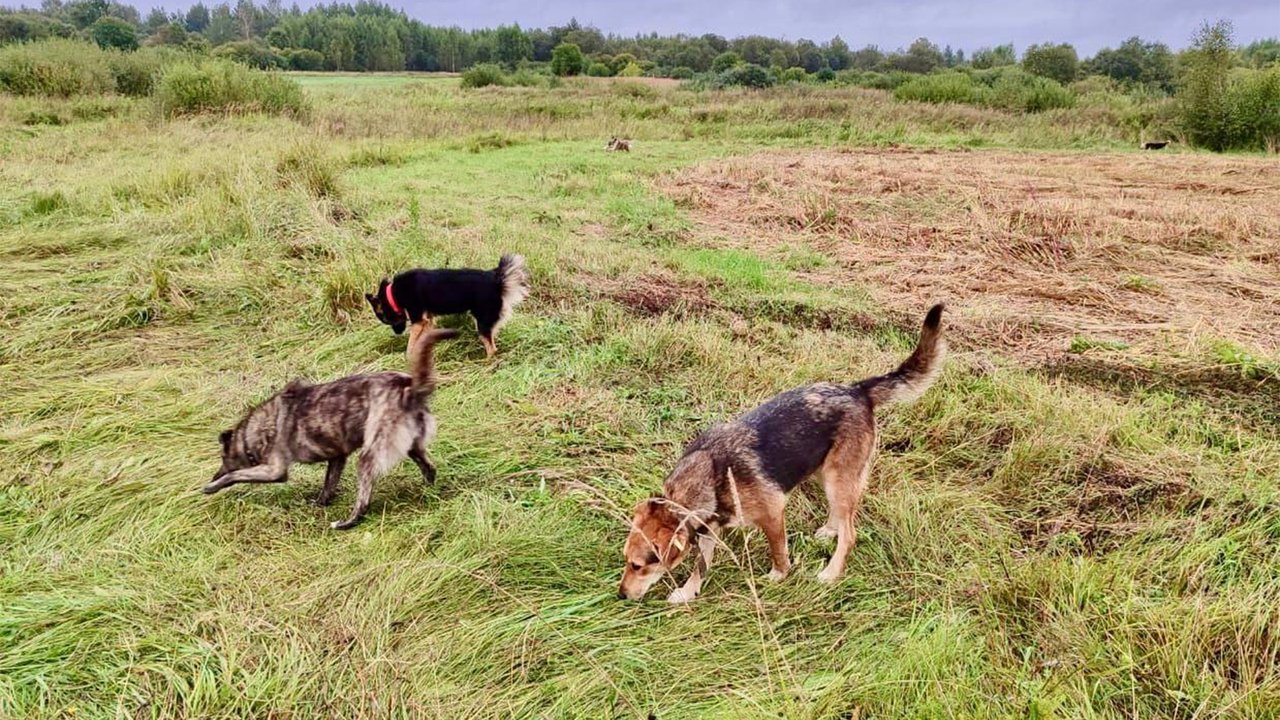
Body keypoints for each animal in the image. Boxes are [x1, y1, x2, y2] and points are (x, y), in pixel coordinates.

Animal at [202, 325, 458, 527]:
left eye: (223, 459)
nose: (213, 475)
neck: (255, 430)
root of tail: (409, 389)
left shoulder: (274, 470)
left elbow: (237, 475)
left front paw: (214, 485)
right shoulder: (337, 457)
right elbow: (328, 484)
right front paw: (320, 503)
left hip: (369, 455)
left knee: (364, 499)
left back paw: (348, 522)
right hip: (412, 446)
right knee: (429, 468)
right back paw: (427, 492)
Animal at [366, 253, 529, 356]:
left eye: (386, 320)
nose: (397, 333)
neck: (393, 293)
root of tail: (497, 280)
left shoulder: (418, 321)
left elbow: (411, 343)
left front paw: (408, 356)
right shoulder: (428, 321)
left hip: (482, 323)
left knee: (492, 349)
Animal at [614, 302, 947, 599]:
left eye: (638, 565)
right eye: (626, 560)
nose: (621, 595)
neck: (713, 478)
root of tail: (857, 390)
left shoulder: (773, 514)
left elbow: (778, 550)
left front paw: (779, 575)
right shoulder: (709, 529)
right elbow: (701, 564)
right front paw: (688, 591)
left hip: (839, 478)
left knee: (850, 533)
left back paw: (831, 572)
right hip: (822, 472)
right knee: (840, 515)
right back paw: (830, 529)